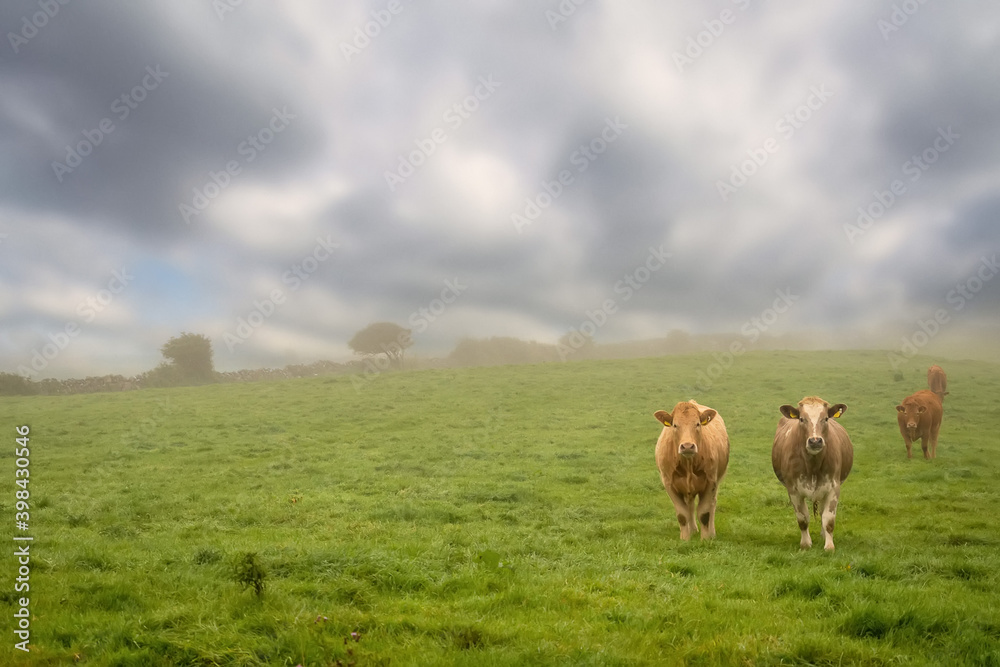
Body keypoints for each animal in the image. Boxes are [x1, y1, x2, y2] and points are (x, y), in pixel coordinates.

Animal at [652, 400, 732, 540]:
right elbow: (682, 514)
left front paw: (706, 539)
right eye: (675, 425)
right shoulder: (669, 484)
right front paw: (685, 539)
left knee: (712, 504)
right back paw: (693, 530)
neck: (688, 464)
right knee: (689, 505)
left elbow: (704, 513)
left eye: (698, 424)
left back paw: (711, 532)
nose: (687, 446)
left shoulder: (710, 482)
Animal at [768, 400, 856, 552]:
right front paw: (805, 544)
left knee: (822, 512)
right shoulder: (793, 490)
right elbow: (803, 519)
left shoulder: (833, 487)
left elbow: (829, 519)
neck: (813, 465)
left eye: (825, 418)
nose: (815, 441)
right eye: (801, 419)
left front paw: (829, 546)